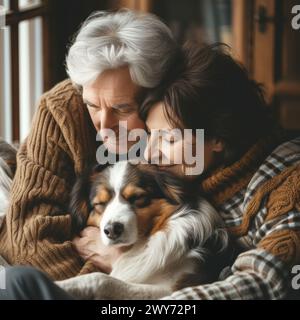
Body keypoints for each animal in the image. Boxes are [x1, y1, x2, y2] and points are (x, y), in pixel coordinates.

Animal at [56, 162, 230, 300]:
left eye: (136, 197)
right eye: (100, 203)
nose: (112, 230)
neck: (144, 243)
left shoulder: (176, 287)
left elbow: (101, 279)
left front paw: (63, 285)